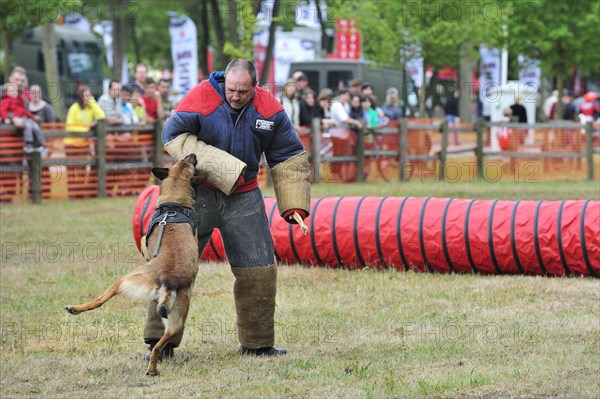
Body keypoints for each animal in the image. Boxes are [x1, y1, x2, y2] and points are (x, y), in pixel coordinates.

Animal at [63, 155, 204, 376]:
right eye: (184, 160)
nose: (193, 155)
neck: (174, 201)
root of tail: (170, 279)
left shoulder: (146, 242)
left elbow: (144, 239)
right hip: (177, 318)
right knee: (159, 345)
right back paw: (152, 369)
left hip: (125, 280)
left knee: (100, 300)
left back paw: (75, 308)